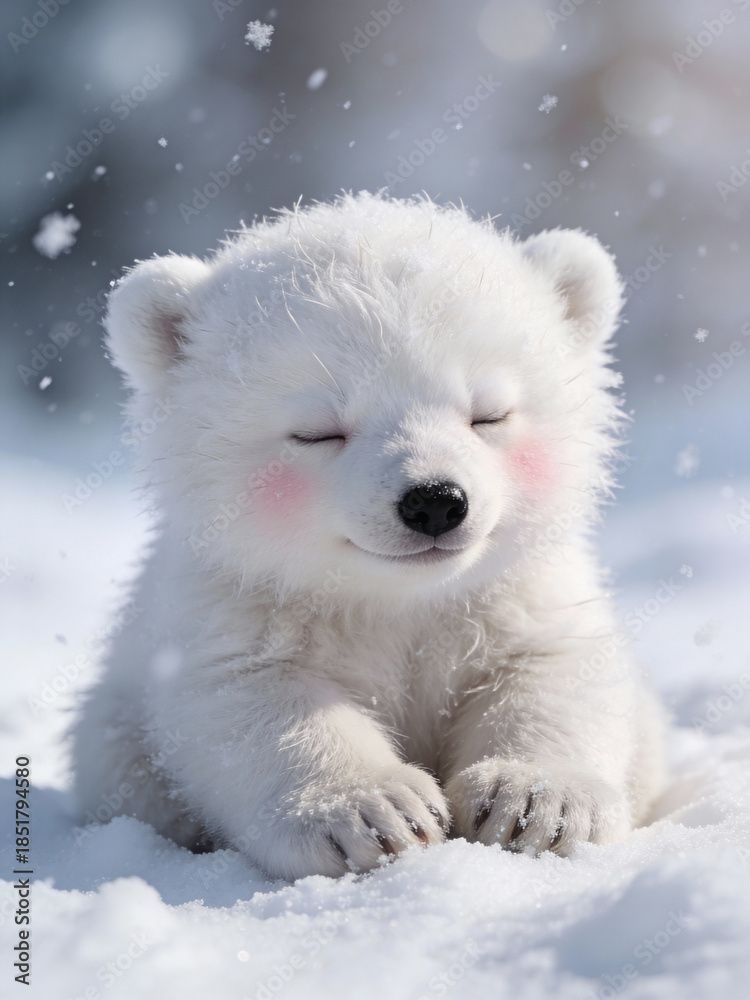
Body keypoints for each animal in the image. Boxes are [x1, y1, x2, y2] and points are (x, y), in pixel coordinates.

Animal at [72, 191, 667, 880]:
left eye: (489, 414)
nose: (435, 502)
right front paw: (373, 812)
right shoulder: (229, 603)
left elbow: (555, 669)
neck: (393, 599)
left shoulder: (520, 593)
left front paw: (537, 802)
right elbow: (248, 699)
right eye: (318, 431)